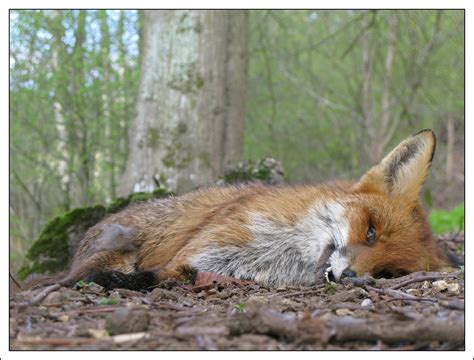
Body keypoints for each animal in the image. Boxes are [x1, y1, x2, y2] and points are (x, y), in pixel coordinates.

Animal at [61, 129, 458, 290]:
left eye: (387, 273)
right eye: (371, 231)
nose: (348, 277)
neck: (277, 258)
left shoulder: (214, 270)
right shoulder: (198, 252)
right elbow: (147, 277)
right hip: (121, 245)